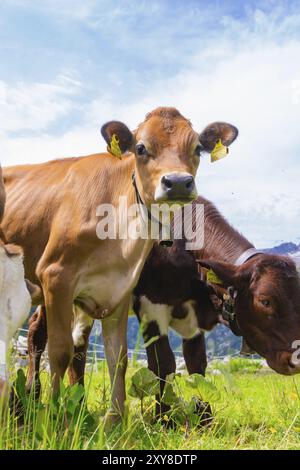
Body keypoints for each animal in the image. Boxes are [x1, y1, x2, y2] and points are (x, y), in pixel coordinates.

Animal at [0, 108, 239, 424]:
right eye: (140, 148)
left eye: (197, 147)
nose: (177, 182)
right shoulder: (56, 277)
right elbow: (60, 351)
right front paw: (55, 416)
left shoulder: (121, 289)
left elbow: (118, 357)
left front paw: (114, 419)